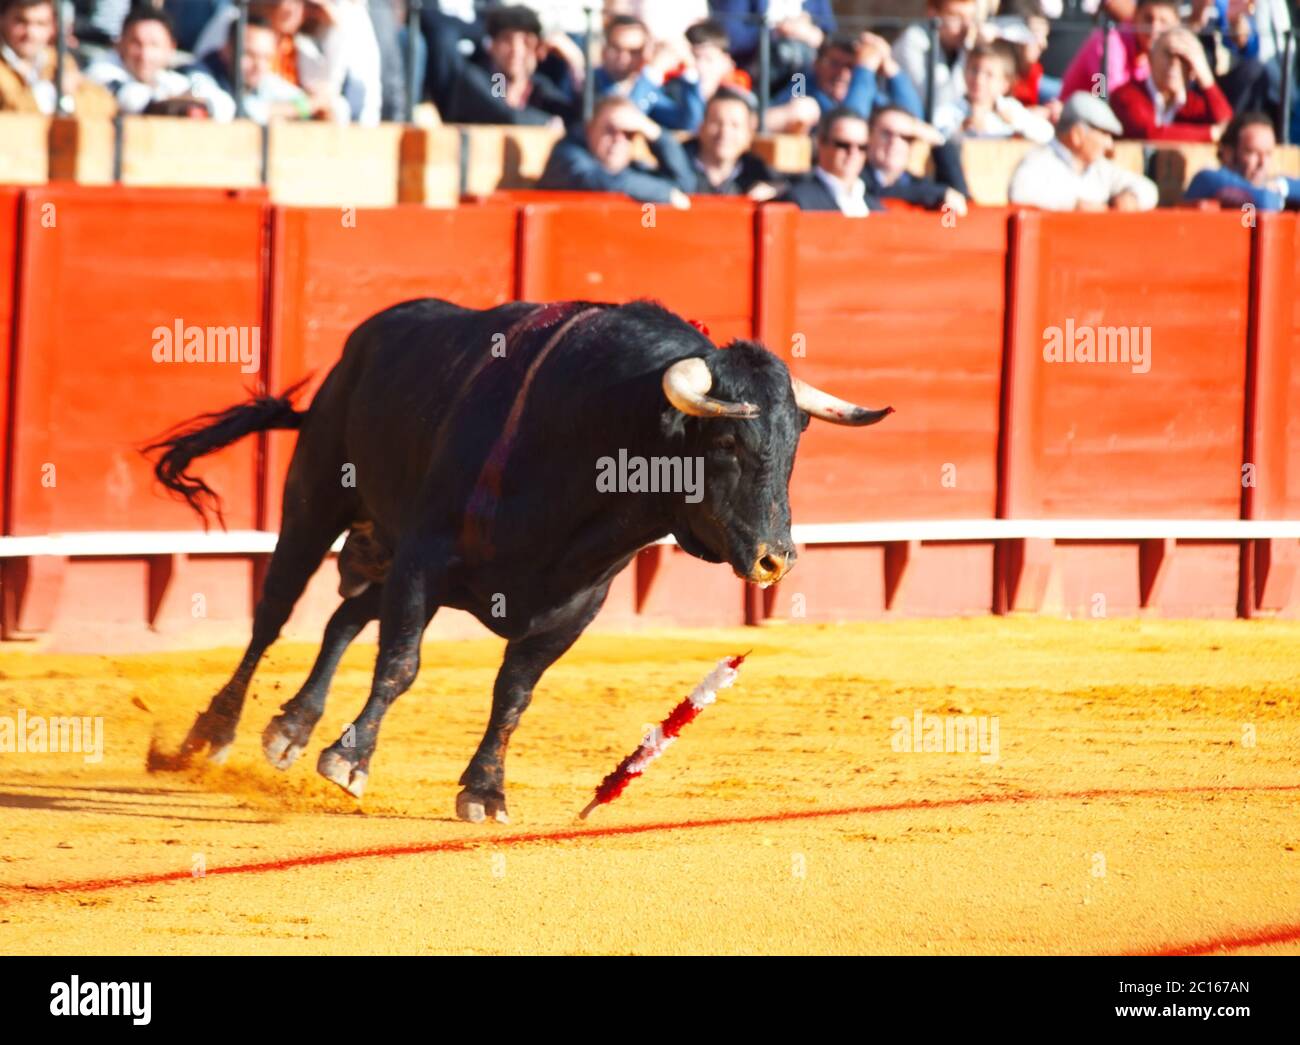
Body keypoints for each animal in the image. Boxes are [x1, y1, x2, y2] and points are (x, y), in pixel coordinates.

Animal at [144, 297, 894, 821]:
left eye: (794, 448)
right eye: (728, 445)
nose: (776, 560)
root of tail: (367, 340)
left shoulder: (571, 610)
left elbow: (513, 695)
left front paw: (484, 791)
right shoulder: (424, 562)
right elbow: (402, 664)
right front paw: (350, 761)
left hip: (386, 555)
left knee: (342, 619)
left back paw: (292, 727)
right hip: (316, 501)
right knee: (274, 612)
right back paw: (211, 734)